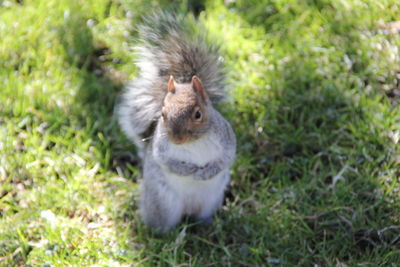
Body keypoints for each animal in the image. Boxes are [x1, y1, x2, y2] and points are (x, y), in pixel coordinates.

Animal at [115, 12, 236, 232]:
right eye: (162, 114)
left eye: (197, 114)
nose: (177, 138)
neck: (195, 142)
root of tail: (189, 208)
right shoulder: (161, 146)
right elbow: (164, 160)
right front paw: (188, 170)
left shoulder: (226, 138)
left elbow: (226, 158)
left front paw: (204, 173)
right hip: (162, 205)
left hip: (210, 201)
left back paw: (207, 226)